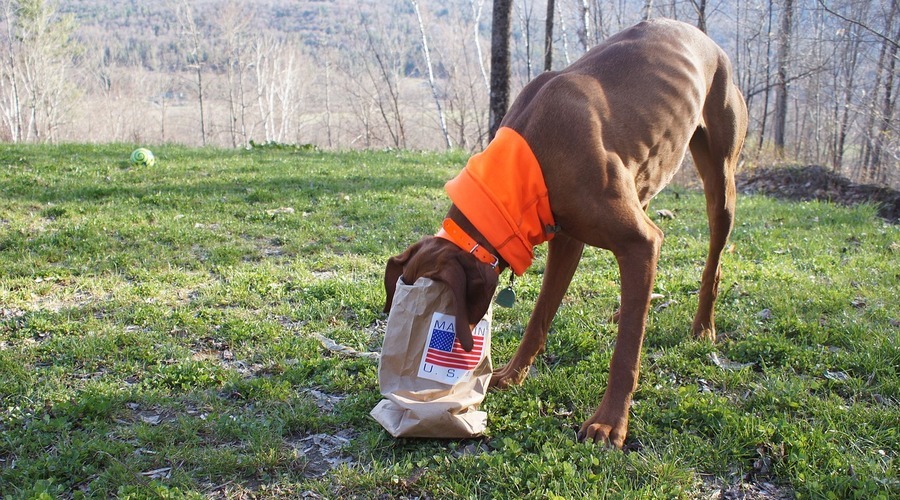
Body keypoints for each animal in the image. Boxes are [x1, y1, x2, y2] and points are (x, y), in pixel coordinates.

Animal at [384, 19, 748, 450]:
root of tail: (706, 39)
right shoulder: (567, 240)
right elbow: (539, 316)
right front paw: (512, 374)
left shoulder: (639, 242)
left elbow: (626, 352)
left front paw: (609, 423)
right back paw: (630, 307)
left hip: (720, 181)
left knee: (713, 261)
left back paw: (703, 327)